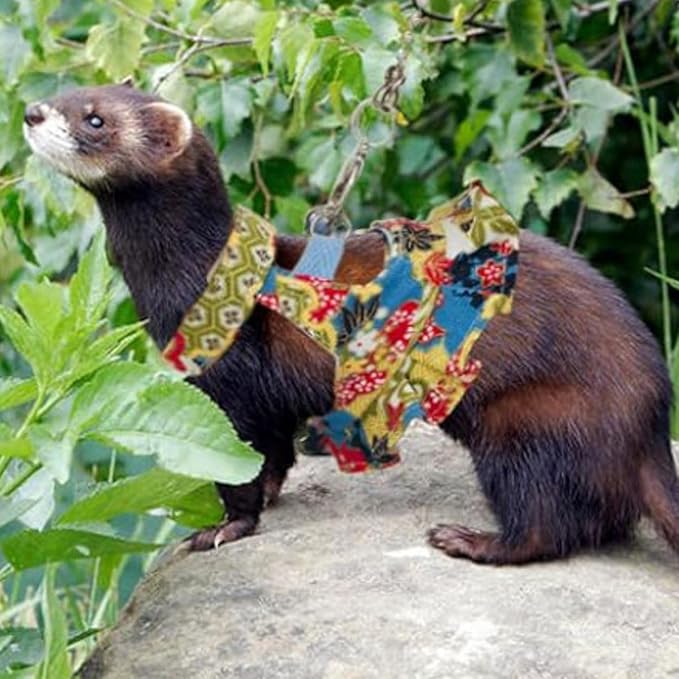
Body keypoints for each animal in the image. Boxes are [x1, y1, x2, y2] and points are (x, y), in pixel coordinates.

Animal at [23, 83, 679, 565]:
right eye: (68, 87)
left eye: (95, 118)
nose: (31, 110)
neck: (187, 275)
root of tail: (650, 421)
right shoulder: (266, 402)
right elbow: (270, 459)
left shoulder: (233, 381)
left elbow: (244, 469)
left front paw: (222, 529)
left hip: (521, 423)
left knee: (546, 526)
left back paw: (470, 540)